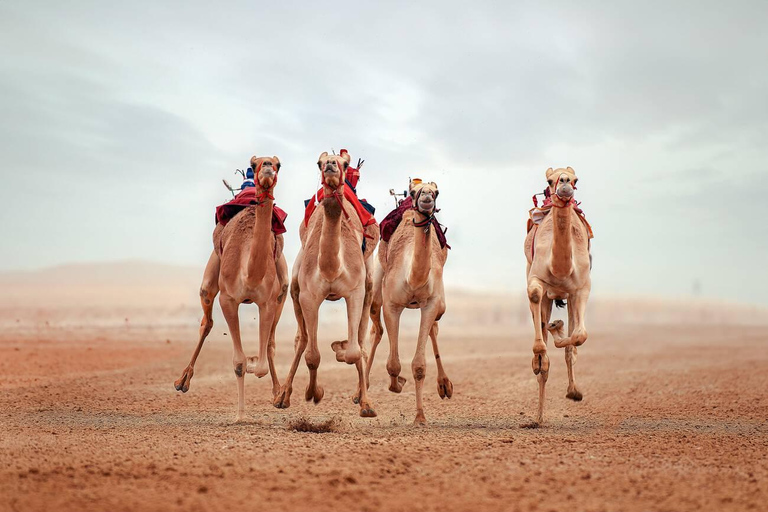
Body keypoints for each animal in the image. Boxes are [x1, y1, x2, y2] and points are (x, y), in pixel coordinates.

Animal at [173, 155, 288, 420]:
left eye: (278, 164)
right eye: (255, 164)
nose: (267, 167)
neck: (249, 274)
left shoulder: (267, 301)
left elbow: (261, 363)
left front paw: (256, 365)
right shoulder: (228, 299)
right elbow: (238, 362)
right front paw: (240, 416)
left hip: (283, 289)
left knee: (271, 341)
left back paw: (279, 395)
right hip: (211, 279)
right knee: (206, 321)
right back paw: (182, 381)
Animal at [274, 150, 380, 418]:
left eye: (344, 163)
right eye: (319, 163)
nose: (331, 165)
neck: (332, 267)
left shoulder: (355, 292)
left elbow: (354, 351)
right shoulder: (309, 296)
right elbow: (312, 355)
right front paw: (314, 393)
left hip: (369, 287)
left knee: (361, 343)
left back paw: (362, 398)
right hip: (295, 288)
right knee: (301, 340)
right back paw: (283, 396)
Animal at [368, 180, 450, 424]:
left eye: (437, 191)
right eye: (414, 192)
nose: (426, 197)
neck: (412, 277)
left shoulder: (431, 304)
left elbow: (419, 365)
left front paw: (420, 417)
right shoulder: (392, 305)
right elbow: (393, 364)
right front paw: (396, 385)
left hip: (440, 303)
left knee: (434, 327)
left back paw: (445, 385)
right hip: (376, 285)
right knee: (376, 329)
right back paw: (362, 396)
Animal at [520, 166, 592, 426]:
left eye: (576, 179)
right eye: (549, 180)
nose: (564, 184)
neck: (560, 268)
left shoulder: (581, 288)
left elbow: (579, 337)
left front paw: (557, 328)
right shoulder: (537, 280)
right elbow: (533, 293)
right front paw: (539, 356)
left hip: (568, 298)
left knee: (572, 344)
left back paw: (572, 392)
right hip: (547, 294)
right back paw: (538, 418)